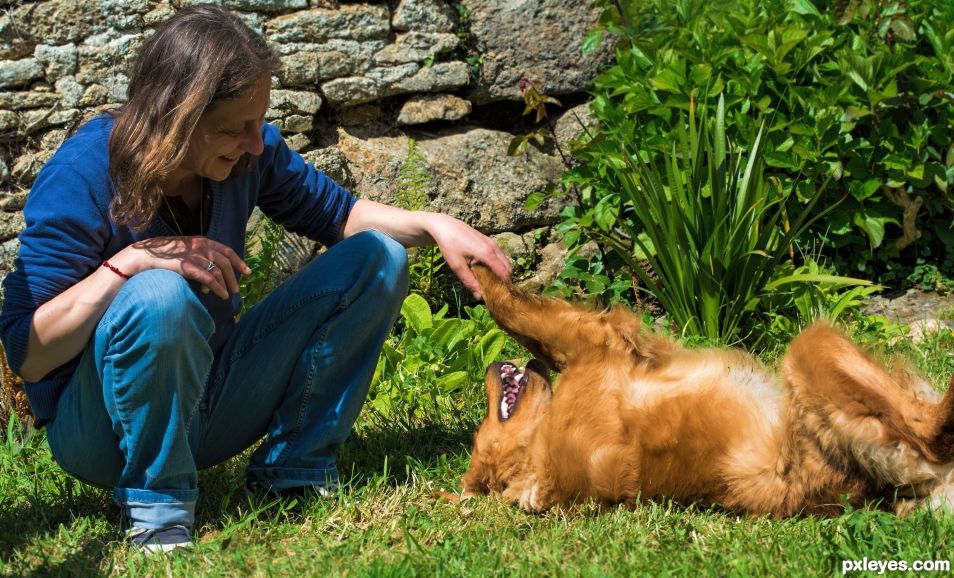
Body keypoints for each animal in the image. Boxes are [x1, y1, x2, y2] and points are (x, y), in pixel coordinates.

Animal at [462, 264, 952, 516]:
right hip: (812, 347)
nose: (489, 365)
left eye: (480, 428)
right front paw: (477, 266)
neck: (535, 456)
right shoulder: (597, 342)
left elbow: (524, 326)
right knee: (928, 425)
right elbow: (513, 308)